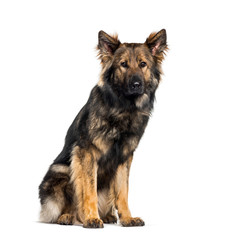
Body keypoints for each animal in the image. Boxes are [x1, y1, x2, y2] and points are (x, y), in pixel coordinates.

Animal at [38, 29, 167, 228]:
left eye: (143, 64)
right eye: (123, 65)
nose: (136, 85)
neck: (123, 108)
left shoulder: (124, 158)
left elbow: (122, 192)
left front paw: (127, 218)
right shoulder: (86, 154)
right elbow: (89, 190)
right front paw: (91, 218)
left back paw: (106, 216)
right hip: (60, 171)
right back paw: (68, 216)